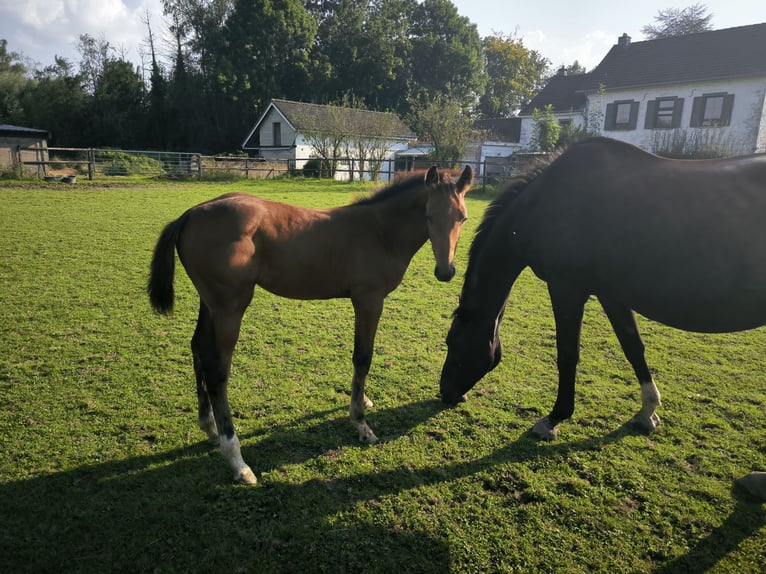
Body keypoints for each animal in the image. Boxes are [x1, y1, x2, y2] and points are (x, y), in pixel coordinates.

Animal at [148, 168, 474, 486]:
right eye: (429, 216)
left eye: (462, 218)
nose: (445, 271)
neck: (379, 231)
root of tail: (190, 214)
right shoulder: (368, 300)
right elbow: (362, 358)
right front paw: (361, 424)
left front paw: (364, 400)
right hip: (229, 308)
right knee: (217, 371)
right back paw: (237, 461)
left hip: (210, 305)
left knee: (198, 349)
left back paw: (210, 428)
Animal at [438, 138, 766, 500]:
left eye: (453, 342)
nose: (445, 393)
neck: (544, 203)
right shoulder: (613, 294)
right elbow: (633, 347)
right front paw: (648, 411)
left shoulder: (567, 288)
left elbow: (567, 355)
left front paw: (554, 419)